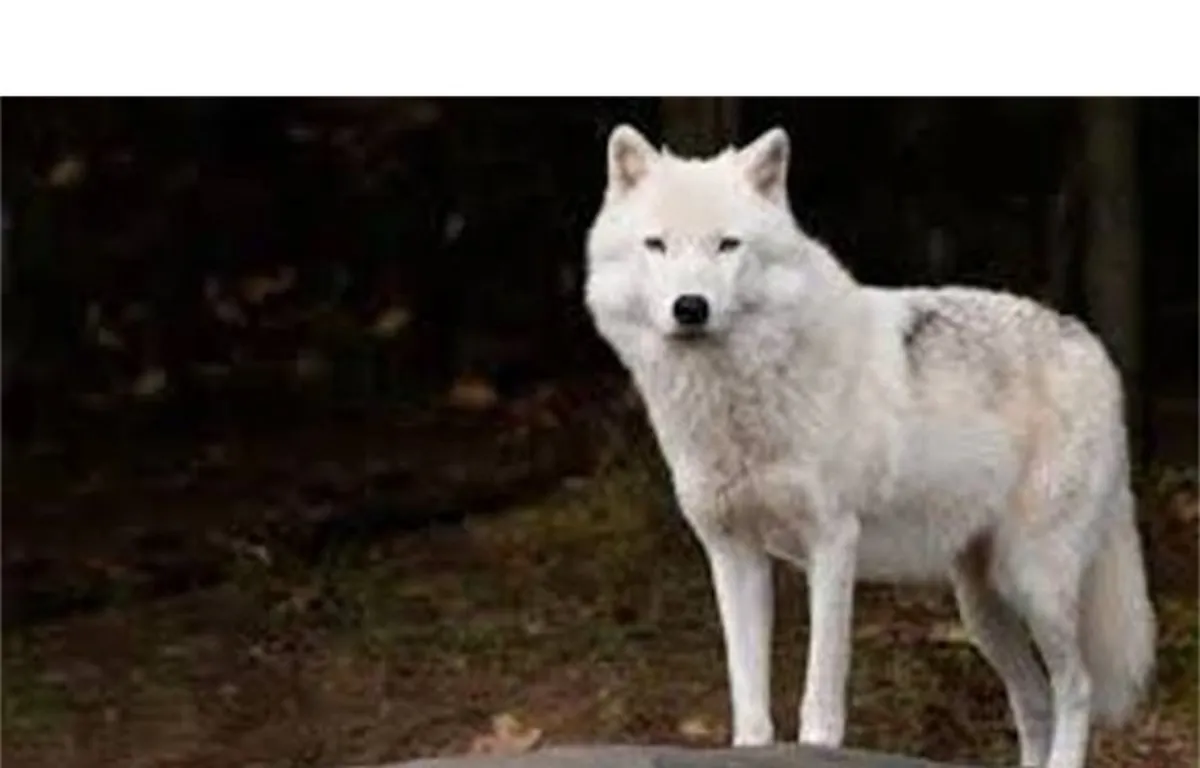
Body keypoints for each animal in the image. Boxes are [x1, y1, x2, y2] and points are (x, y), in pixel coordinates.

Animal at [581, 124, 1156, 768]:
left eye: (727, 245)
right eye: (656, 245)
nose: (690, 307)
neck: (736, 401)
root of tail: (1089, 344)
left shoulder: (833, 541)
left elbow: (821, 691)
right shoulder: (732, 553)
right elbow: (748, 697)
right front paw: (751, 744)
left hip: (1034, 580)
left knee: (1076, 688)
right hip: (981, 607)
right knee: (1035, 703)